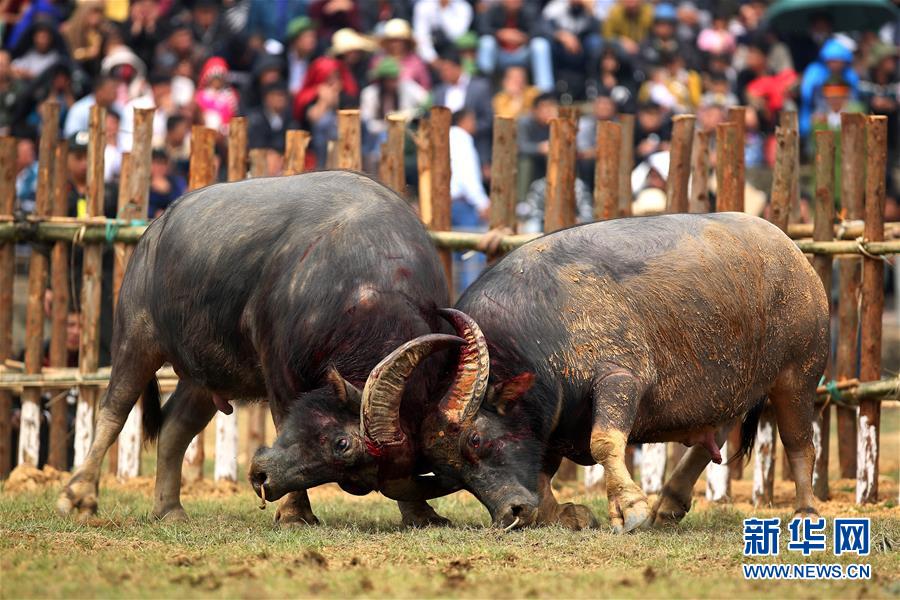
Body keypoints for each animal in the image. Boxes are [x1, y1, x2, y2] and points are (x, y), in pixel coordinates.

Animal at [57, 169, 464, 524]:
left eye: (357, 481)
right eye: (342, 444)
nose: (262, 479)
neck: (367, 286)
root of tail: (155, 229)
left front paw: (421, 514)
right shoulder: (278, 370)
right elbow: (282, 417)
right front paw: (295, 513)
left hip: (207, 376)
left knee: (175, 426)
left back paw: (169, 510)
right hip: (136, 336)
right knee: (113, 411)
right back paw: (79, 496)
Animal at [332, 213, 828, 532]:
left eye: (474, 440)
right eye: (449, 475)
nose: (510, 515)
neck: (542, 325)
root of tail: (792, 254)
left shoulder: (619, 381)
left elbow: (604, 441)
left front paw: (630, 509)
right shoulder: (553, 427)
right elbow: (542, 472)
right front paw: (567, 513)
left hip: (798, 375)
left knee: (799, 442)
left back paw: (805, 512)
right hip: (733, 388)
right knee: (719, 431)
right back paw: (670, 501)